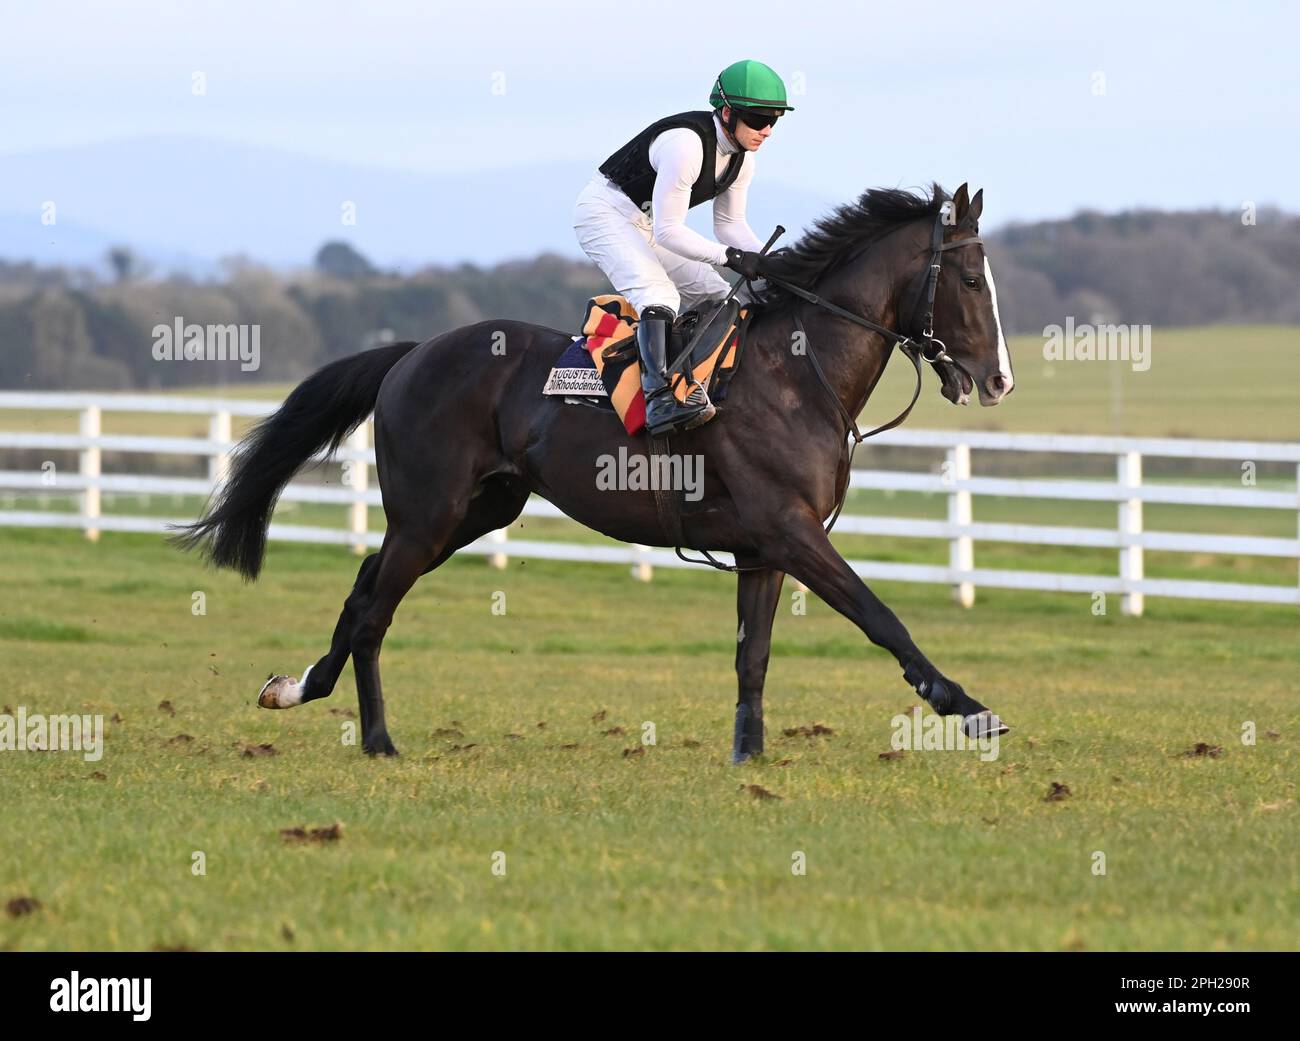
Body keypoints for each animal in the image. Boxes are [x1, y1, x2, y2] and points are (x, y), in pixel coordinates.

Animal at [172, 183, 1013, 758]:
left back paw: (298, 690)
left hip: (476, 510)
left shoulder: (761, 548)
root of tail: (411, 354)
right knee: (375, 608)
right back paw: (375, 737)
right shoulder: (793, 532)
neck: (796, 373)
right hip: (430, 515)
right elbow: (881, 616)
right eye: (971, 281)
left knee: (361, 590)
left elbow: (754, 656)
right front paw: (966, 705)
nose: (999, 379)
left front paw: (748, 754)